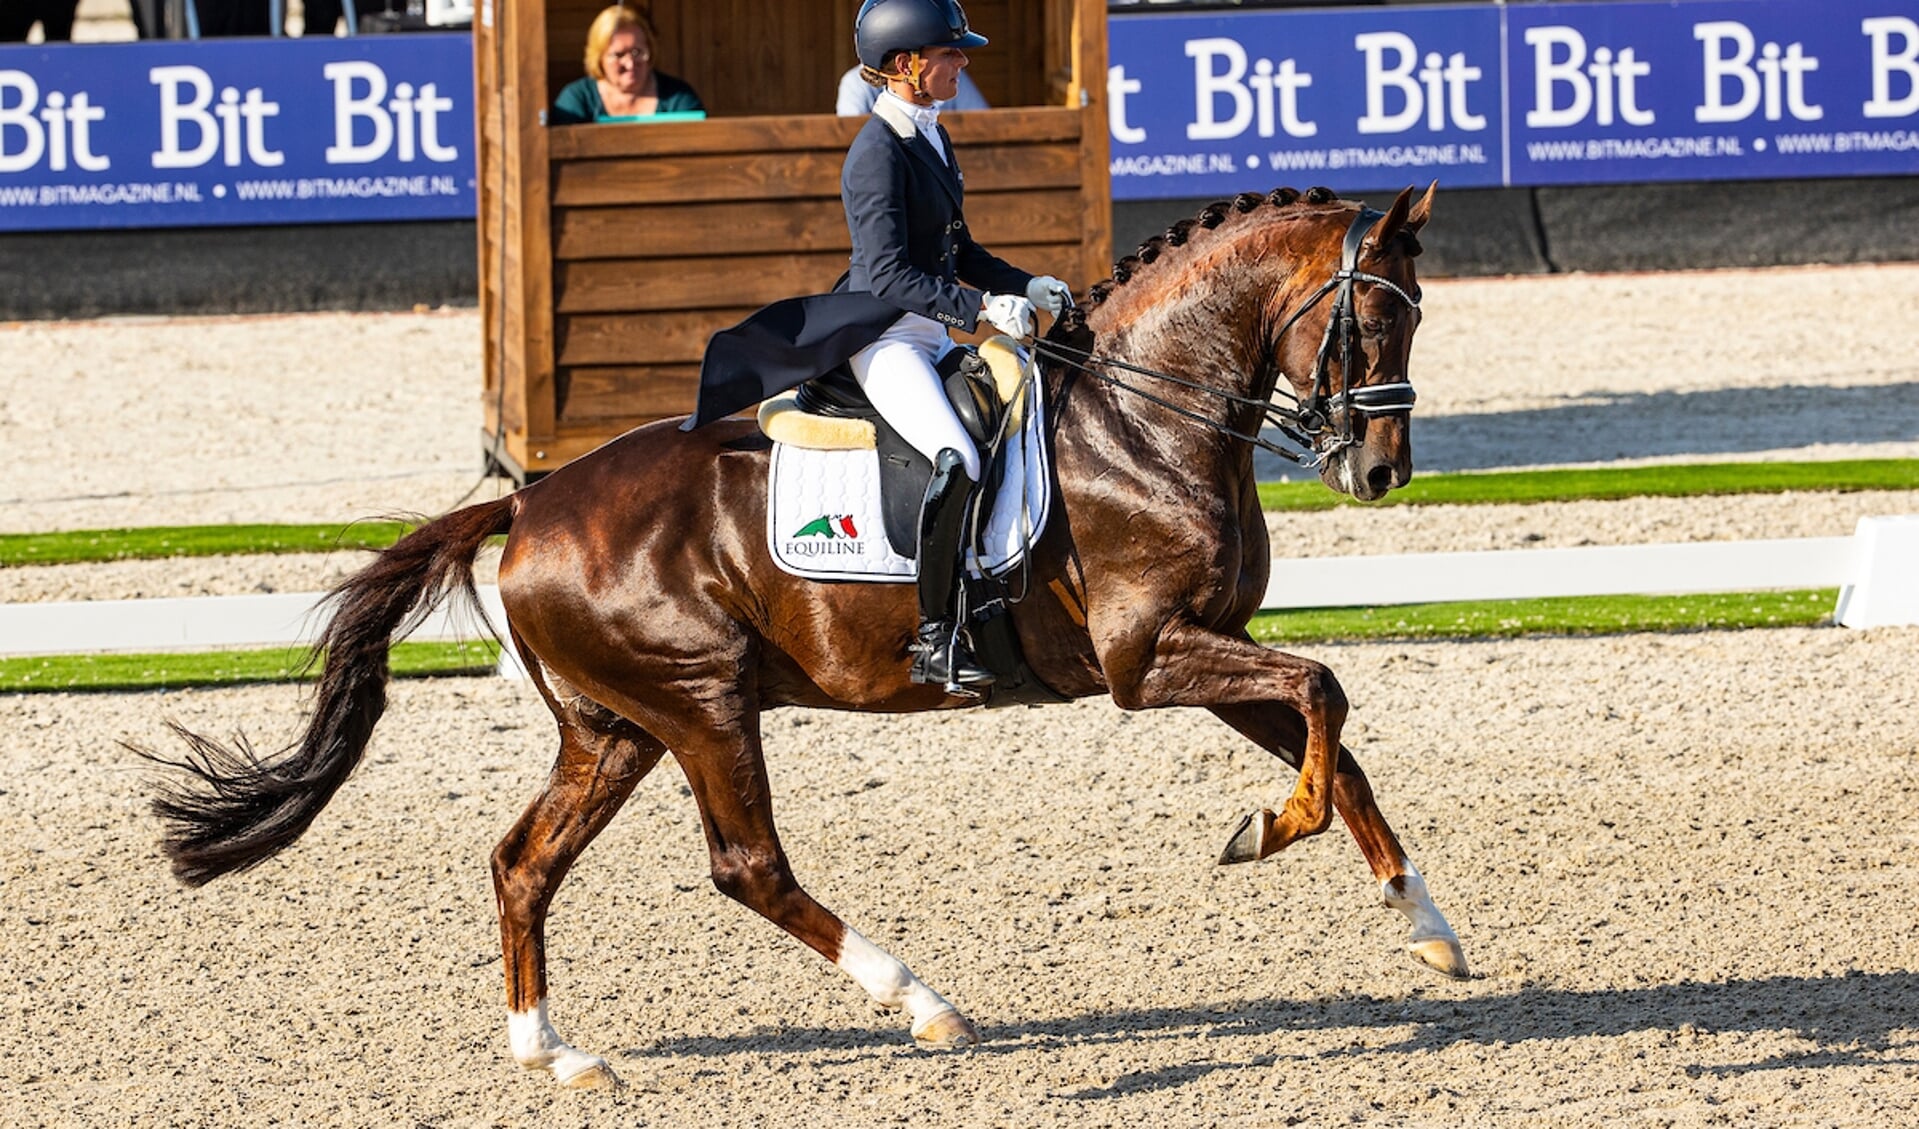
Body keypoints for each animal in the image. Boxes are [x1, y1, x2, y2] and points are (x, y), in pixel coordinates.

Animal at [145, 187, 1466, 1090]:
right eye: (1366, 319)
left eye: (1417, 320)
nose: (1380, 472)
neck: (1140, 422)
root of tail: (530, 502)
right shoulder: (1149, 660)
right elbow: (1323, 690)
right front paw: (1265, 831)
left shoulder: (1207, 642)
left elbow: (1332, 728)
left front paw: (1427, 927)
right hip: (702, 706)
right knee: (748, 867)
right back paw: (924, 1002)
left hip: (616, 730)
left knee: (523, 861)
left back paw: (554, 1053)